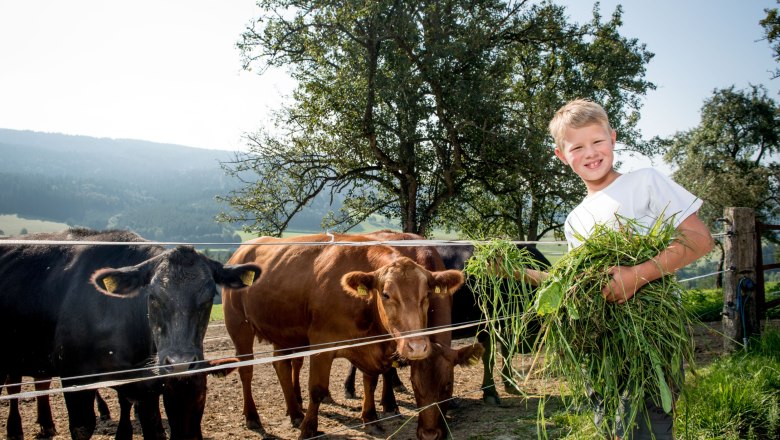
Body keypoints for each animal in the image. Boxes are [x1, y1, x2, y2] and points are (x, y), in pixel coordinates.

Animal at [0, 230, 262, 440]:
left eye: (209, 298)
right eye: (153, 297)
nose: (180, 362)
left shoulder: (148, 390)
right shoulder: (75, 377)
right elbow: (82, 428)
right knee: (15, 387)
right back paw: (16, 430)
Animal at [222, 232, 466, 438]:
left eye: (426, 296)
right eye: (386, 294)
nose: (416, 346)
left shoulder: (372, 348)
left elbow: (371, 382)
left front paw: (370, 419)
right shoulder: (321, 344)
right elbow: (317, 389)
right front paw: (309, 430)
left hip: (283, 331)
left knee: (282, 366)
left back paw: (295, 412)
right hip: (239, 325)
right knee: (246, 371)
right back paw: (253, 417)